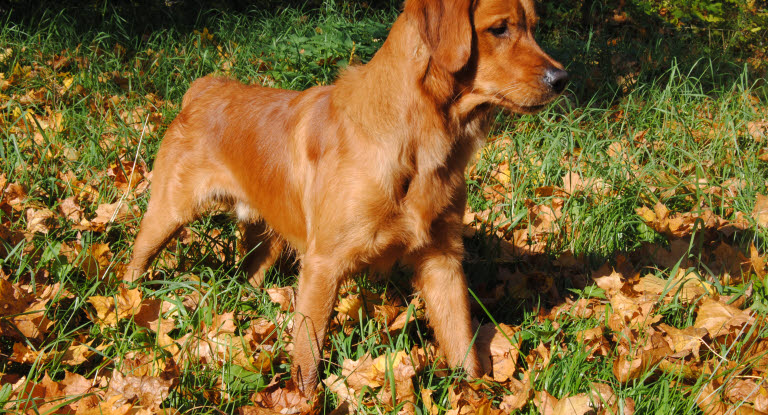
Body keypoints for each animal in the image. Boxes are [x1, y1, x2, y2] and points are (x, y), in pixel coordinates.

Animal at [126, 0, 568, 396]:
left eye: (534, 27)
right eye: (500, 28)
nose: (562, 78)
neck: (422, 142)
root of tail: (206, 88)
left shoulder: (443, 259)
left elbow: (462, 343)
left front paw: (474, 395)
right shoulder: (323, 265)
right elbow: (308, 354)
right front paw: (303, 401)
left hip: (266, 239)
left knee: (249, 272)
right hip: (166, 215)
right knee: (134, 264)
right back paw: (129, 304)